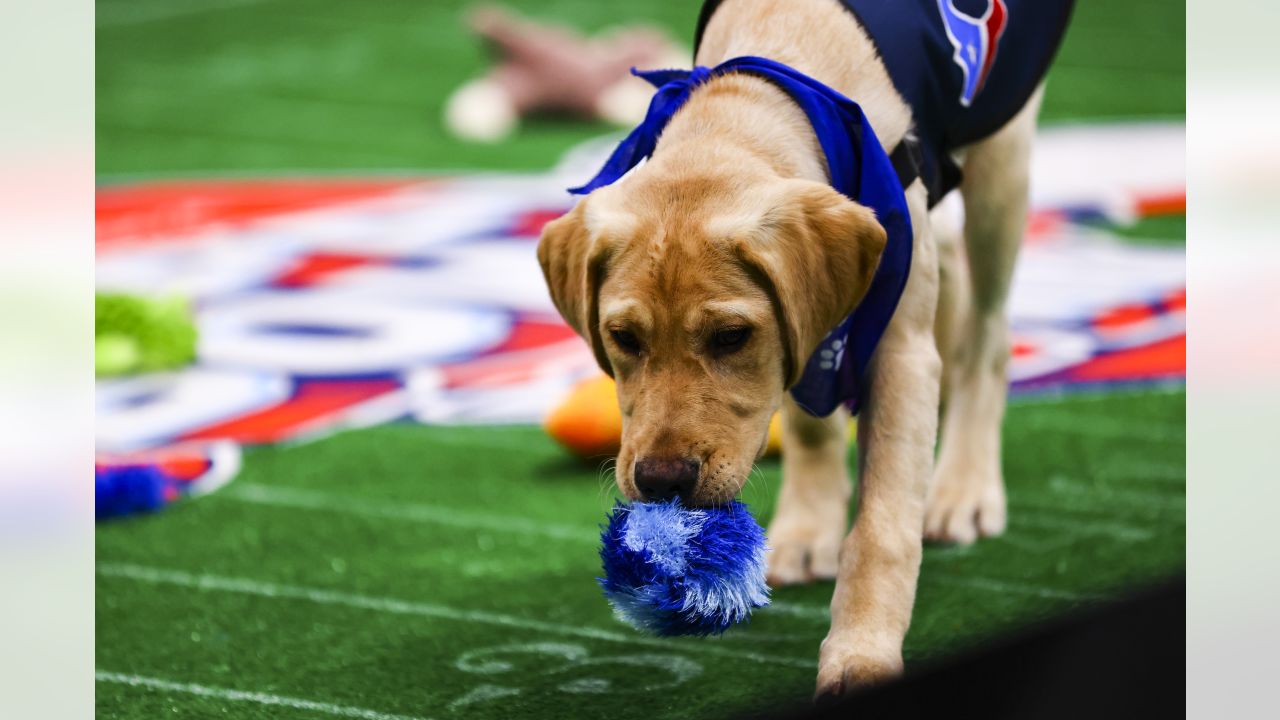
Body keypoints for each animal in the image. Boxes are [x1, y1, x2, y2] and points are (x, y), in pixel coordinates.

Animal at [537, 0, 1070, 696]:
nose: (660, 482)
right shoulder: (807, 335)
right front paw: (810, 527)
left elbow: (882, 527)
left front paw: (861, 655)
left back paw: (965, 488)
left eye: (731, 337)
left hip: (1001, 163)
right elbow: (810, 423)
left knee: (988, 334)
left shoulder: (899, 354)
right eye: (623, 338)